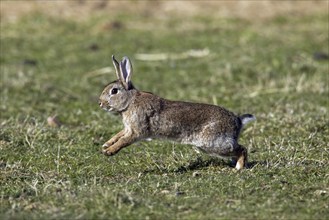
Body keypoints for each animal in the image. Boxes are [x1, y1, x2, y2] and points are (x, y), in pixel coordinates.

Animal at [98, 55, 255, 170]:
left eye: (114, 91)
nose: (100, 103)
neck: (130, 102)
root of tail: (238, 120)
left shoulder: (137, 131)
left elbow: (123, 141)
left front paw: (109, 151)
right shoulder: (128, 128)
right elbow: (118, 135)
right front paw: (105, 145)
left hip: (214, 143)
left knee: (242, 149)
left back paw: (239, 168)